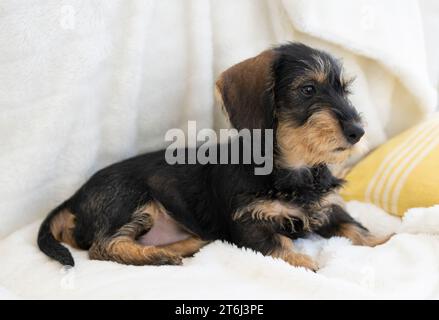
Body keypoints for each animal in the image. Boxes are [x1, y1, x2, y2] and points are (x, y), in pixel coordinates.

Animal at [37, 42, 388, 270]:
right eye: (308, 90)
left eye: (344, 91)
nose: (358, 131)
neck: (292, 170)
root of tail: (74, 198)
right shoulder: (249, 223)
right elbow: (278, 243)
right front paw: (302, 260)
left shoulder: (327, 208)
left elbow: (354, 227)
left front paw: (382, 240)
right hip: (130, 199)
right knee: (103, 247)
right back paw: (155, 256)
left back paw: (190, 245)